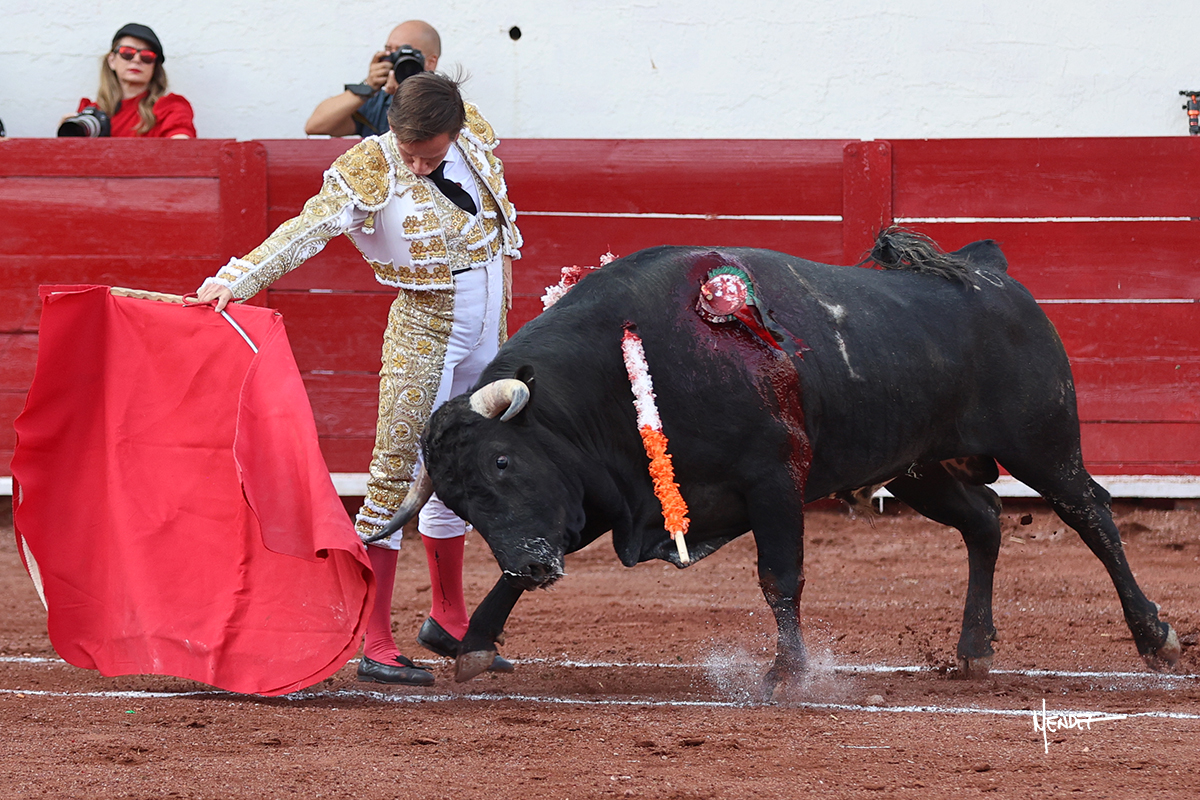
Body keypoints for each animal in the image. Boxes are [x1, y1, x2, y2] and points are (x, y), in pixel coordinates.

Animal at [373, 230, 1180, 697]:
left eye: (503, 463)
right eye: (462, 500)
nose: (538, 563)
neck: (623, 370)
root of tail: (987, 273)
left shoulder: (772, 482)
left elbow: (779, 577)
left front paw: (787, 673)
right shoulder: (602, 497)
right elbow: (508, 580)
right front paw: (476, 645)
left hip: (1042, 444)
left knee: (1093, 515)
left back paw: (1155, 638)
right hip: (918, 465)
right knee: (983, 521)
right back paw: (974, 649)